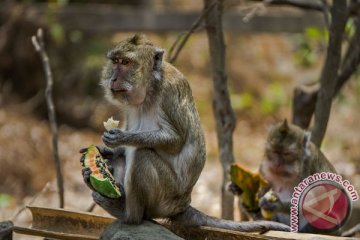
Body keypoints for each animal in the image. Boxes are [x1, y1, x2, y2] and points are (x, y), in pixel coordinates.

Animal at [80, 33, 292, 232]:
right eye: (115, 61)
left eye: (126, 63)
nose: (114, 78)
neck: (149, 88)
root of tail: (183, 205)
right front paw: (105, 152)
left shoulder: (170, 91)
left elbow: (176, 140)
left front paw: (121, 138)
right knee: (126, 158)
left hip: (166, 197)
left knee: (142, 154)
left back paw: (128, 214)